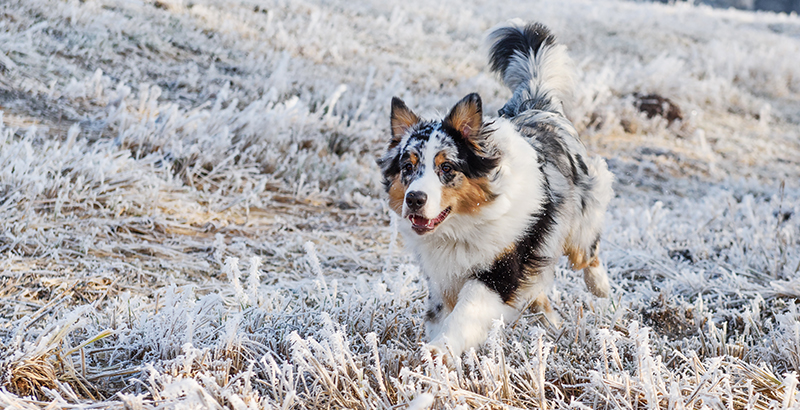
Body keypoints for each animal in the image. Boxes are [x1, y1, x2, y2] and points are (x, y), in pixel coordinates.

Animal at [378, 21, 616, 362]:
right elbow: (440, 313)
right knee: (540, 293)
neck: (463, 227)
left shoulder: (499, 269)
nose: (414, 199)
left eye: (446, 167)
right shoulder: (442, 276)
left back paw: (601, 287)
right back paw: (552, 326)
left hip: (583, 213)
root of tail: (537, 103)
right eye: (408, 167)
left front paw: (440, 351)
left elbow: (466, 313)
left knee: (587, 251)